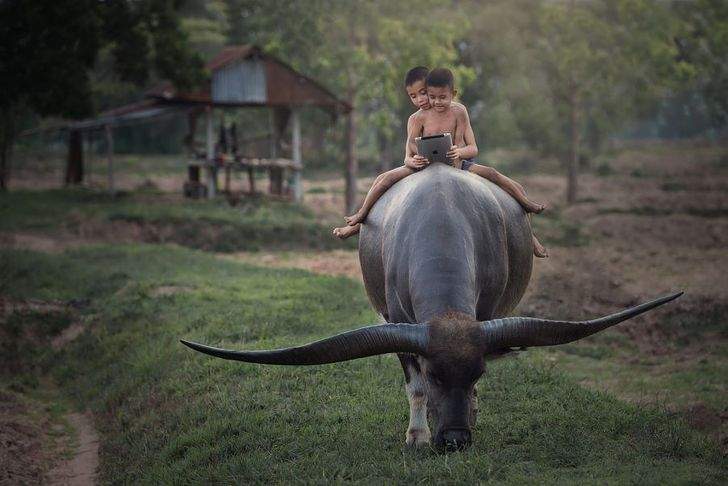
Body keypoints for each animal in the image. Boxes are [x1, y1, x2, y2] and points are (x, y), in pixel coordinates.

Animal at [182, 162, 684, 452]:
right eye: (436, 373)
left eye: (477, 373)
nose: (456, 440)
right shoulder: (398, 324)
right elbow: (414, 388)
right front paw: (418, 435)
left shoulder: (485, 317)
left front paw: (472, 413)